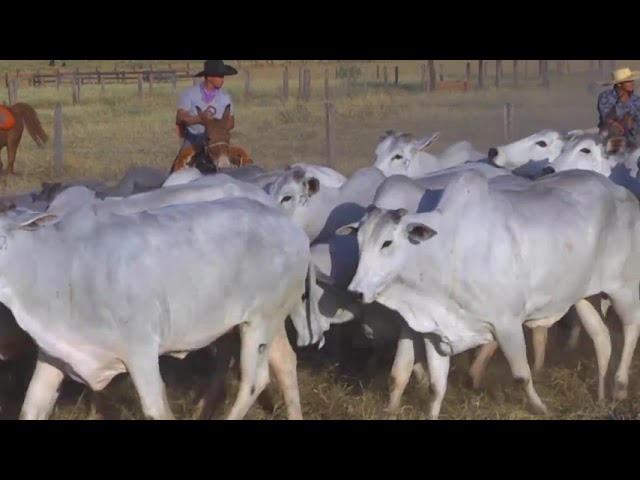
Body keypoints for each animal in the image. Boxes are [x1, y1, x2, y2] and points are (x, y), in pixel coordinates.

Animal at [0, 196, 311, 420]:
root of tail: (291, 227)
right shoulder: (54, 354)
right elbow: (31, 407)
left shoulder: (141, 352)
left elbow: (156, 410)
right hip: (266, 321)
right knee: (285, 363)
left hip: (259, 322)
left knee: (254, 382)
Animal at [338, 169, 640, 419]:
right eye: (359, 241)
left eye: (387, 242)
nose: (355, 291)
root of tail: (622, 192)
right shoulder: (435, 331)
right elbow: (433, 385)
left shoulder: (507, 324)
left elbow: (521, 375)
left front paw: (540, 407)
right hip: (584, 297)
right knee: (602, 340)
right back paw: (601, 396)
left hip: (623, 288)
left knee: (630, 329)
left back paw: (620, 386)